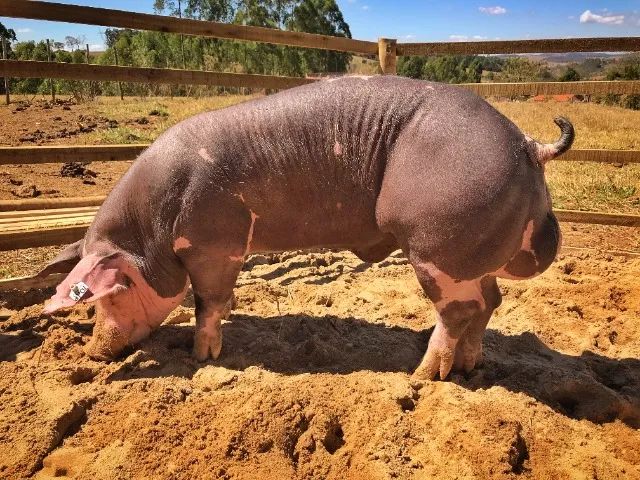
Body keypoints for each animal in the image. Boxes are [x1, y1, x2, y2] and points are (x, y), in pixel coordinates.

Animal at [38, 76, 573, 381]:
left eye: (114, 291)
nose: (93, 351)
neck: (152, 231)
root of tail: (528, 145)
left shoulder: (218, 244)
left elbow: (208, 301)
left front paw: (203, 357)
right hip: (476, 253)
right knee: (490, 302)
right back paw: (469, 367)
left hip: (440, 245)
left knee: (460, 311)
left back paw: (421, 377)